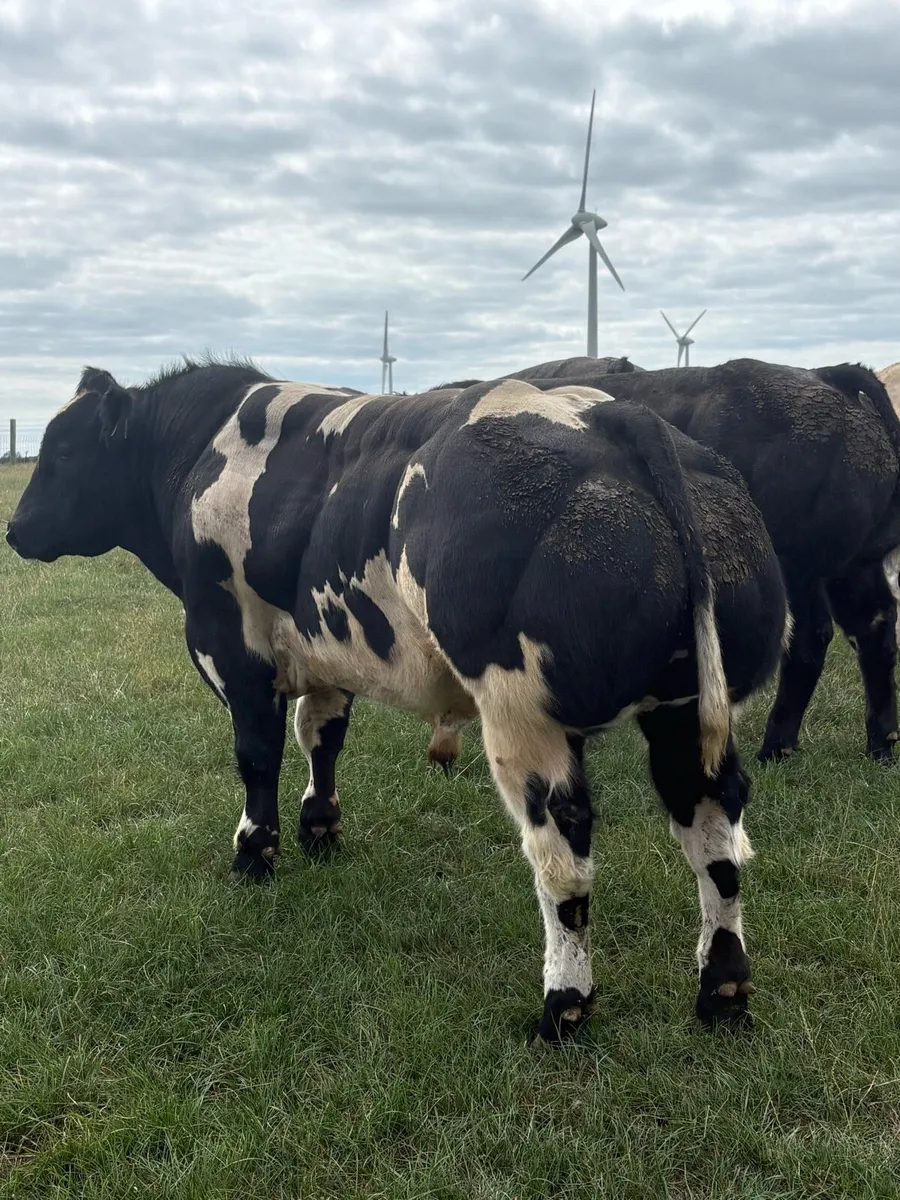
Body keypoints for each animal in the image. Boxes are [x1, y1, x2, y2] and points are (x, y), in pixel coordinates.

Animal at [7, 359, 787, 1041]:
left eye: (64, 450)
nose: (14, 529)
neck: (200, 452)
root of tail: (611, 414)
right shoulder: (325, 651)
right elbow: (321, 737)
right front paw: (320, 828)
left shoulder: (234, 650)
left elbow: (257, 757)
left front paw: (255, 854)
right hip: (685, 714)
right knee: (714, 837)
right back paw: (721, 990)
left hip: (524, 718)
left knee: (563, 854)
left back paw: (563, 1006)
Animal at [440, 358, 900, 765]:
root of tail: (825, 375)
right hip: (851, 566)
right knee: (873, 626)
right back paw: (880, 745)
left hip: (799, 566)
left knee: (810, 639)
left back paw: (776, 748)